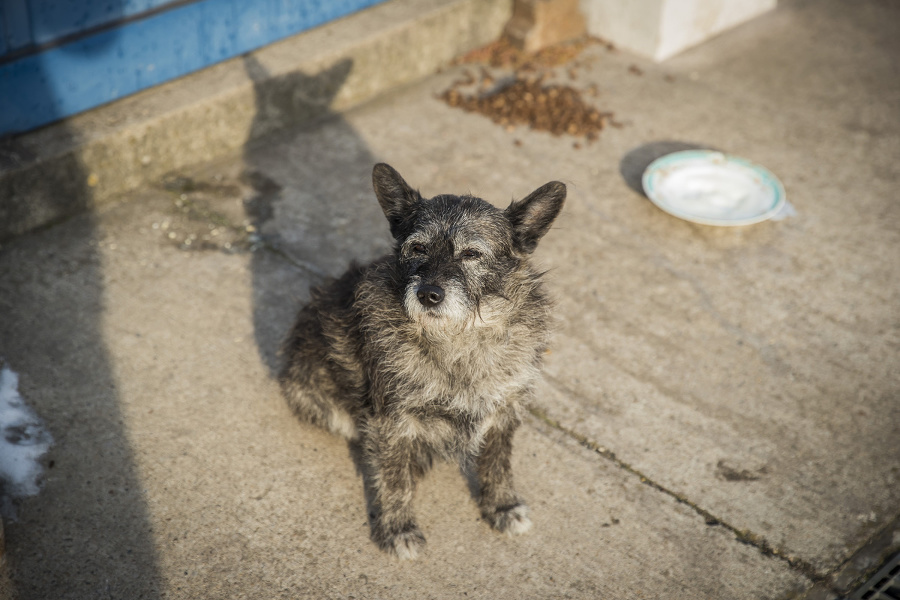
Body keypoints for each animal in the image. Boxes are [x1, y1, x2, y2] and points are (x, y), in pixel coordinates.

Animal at [278, 163, 568, 556]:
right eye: (417, 247)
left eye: (472, 254)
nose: (429, 294)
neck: (459, 338)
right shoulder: (393, 420)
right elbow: (395, 478)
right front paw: (398, 528)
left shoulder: (504, 411)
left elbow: (497, 463)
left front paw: (502, 506)